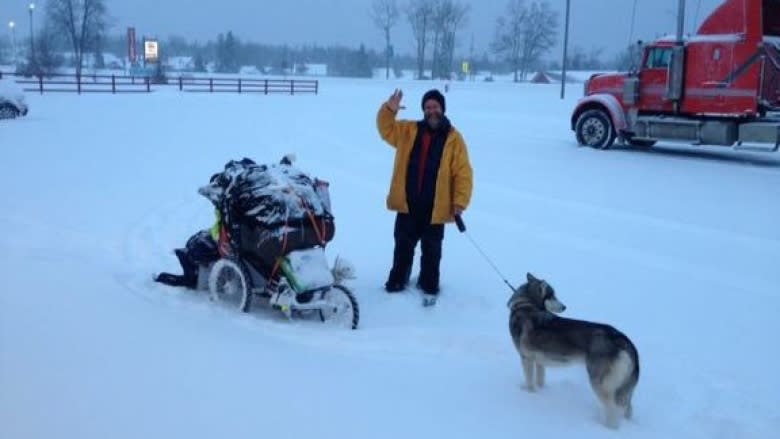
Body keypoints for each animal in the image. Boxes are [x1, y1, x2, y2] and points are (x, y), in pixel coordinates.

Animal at [506, 272, 640, 430]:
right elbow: (540, 380)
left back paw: (606, 428)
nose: (564, 307)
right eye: (552, 296)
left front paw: (529, 394)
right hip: (624, 389)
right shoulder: (539, 362)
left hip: (600, 384)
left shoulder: (526, 359)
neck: (525, 305)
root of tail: (623, 340)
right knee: (627, 408)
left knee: (612, 410)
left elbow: (529, 382)